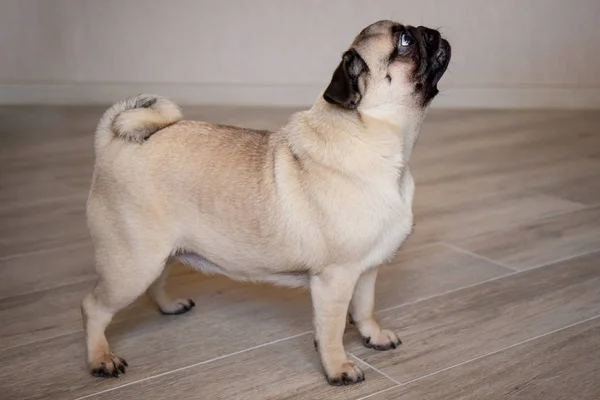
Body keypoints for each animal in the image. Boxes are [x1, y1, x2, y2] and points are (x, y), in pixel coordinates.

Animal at [83, 19, 450, 384]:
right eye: (405, 41)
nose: (432, 32)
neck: (376, 142)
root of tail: (112, 141)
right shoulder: (335, 278)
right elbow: (331, 330)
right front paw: (338, 367)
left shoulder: (366, 269)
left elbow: (364, 308)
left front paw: (372, 335)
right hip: (132, 262)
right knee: (93, 307)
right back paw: (101, 359)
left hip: (160, 253)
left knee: (156, 282)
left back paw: (169, 306)